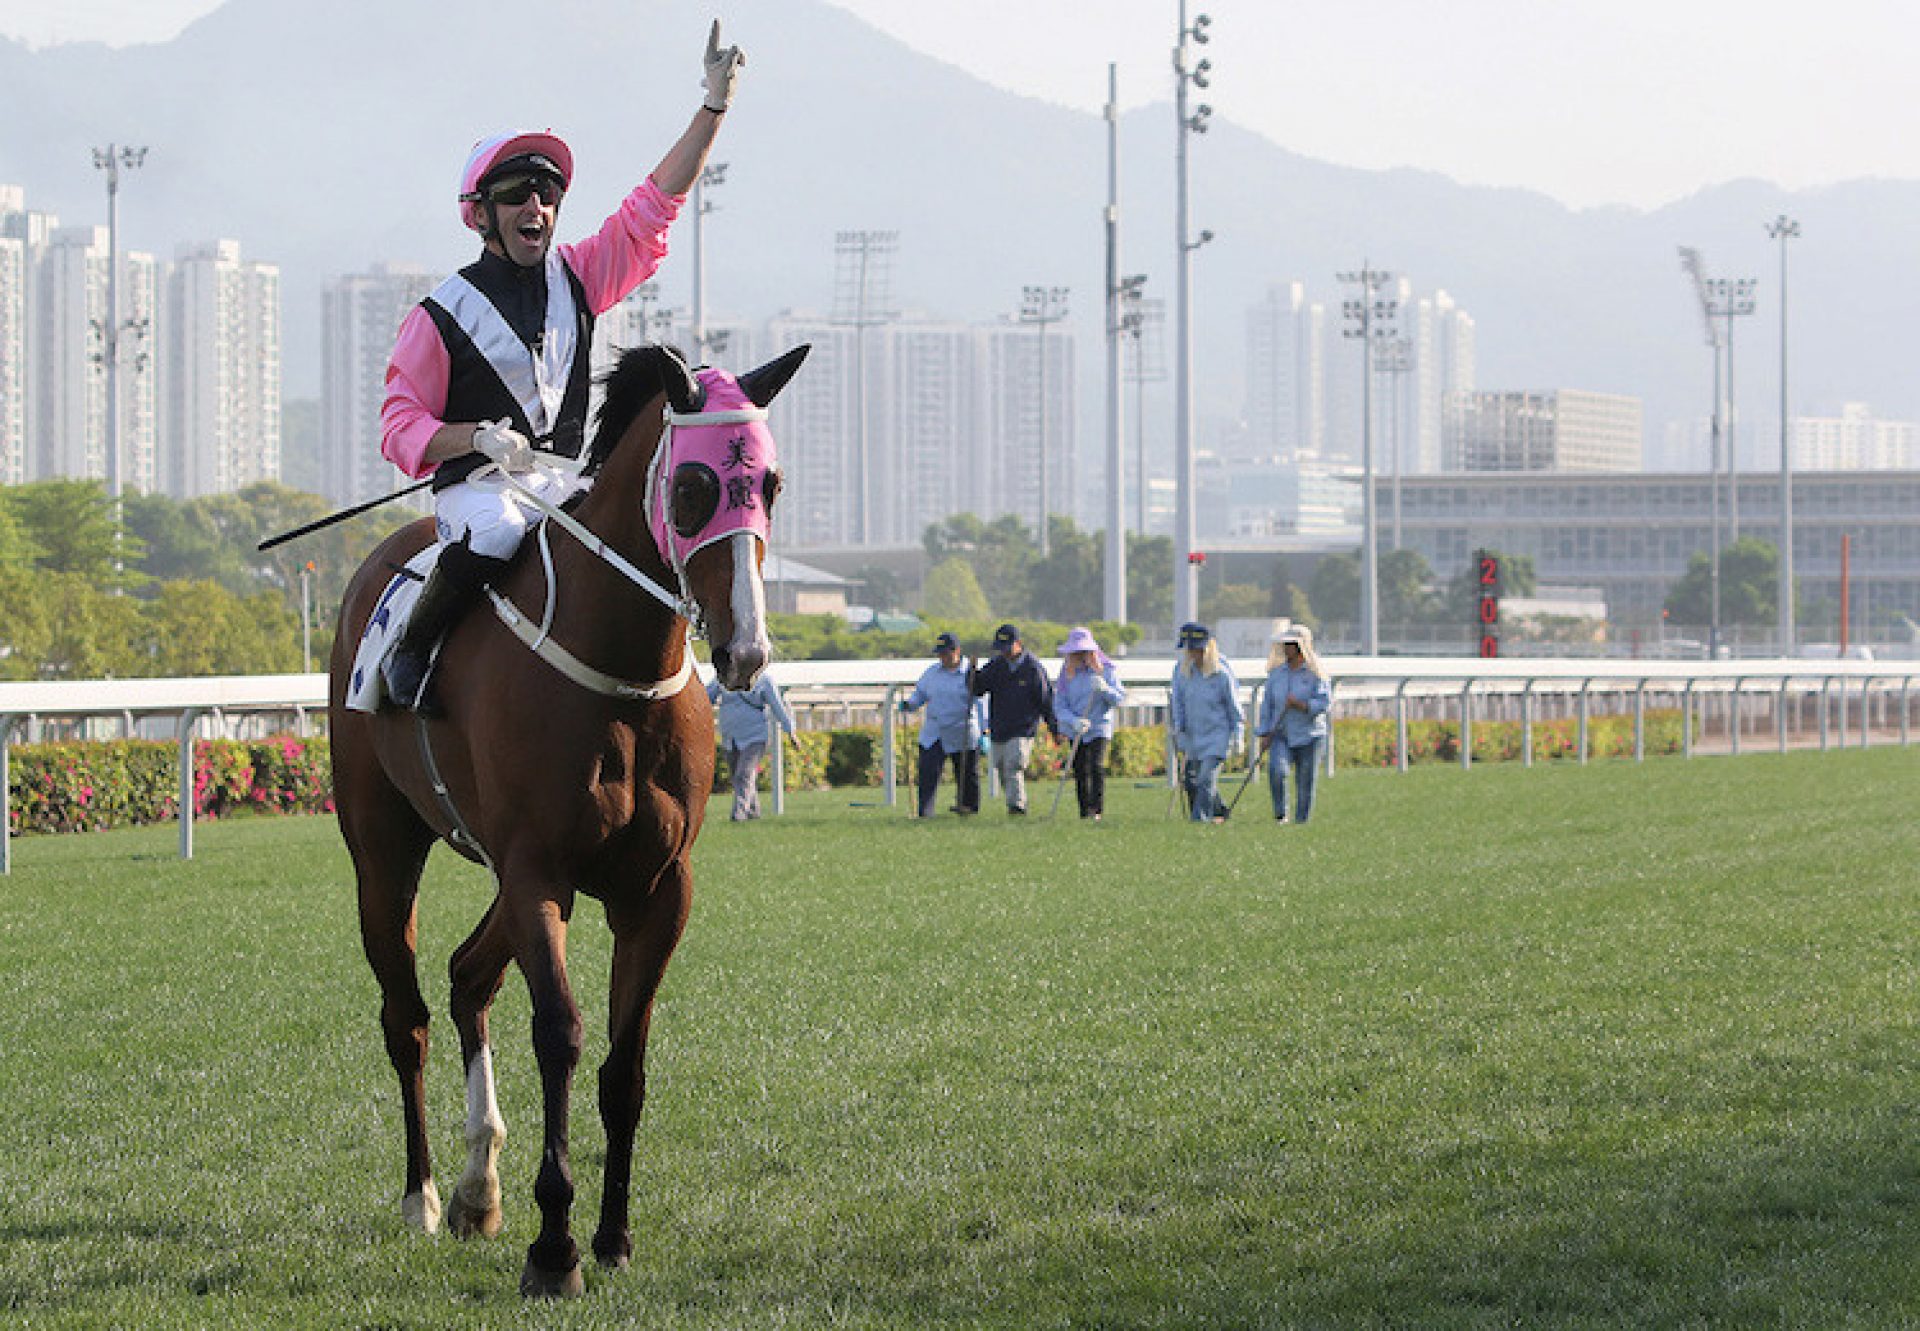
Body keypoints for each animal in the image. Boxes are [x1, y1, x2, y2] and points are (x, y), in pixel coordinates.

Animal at [326, 338, 806, 1290]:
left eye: (768, 483)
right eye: (692, 485)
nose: (745, 651)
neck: (618, 669)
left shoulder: (654, 889)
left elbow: (625, 1062)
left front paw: (613, 1234)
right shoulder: (538, 872)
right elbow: (561, 1034)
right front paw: (554, 1246)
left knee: (467, 975)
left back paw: (478, 1187)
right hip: (384, 850)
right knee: (406, 1014)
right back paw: (424, 1195)